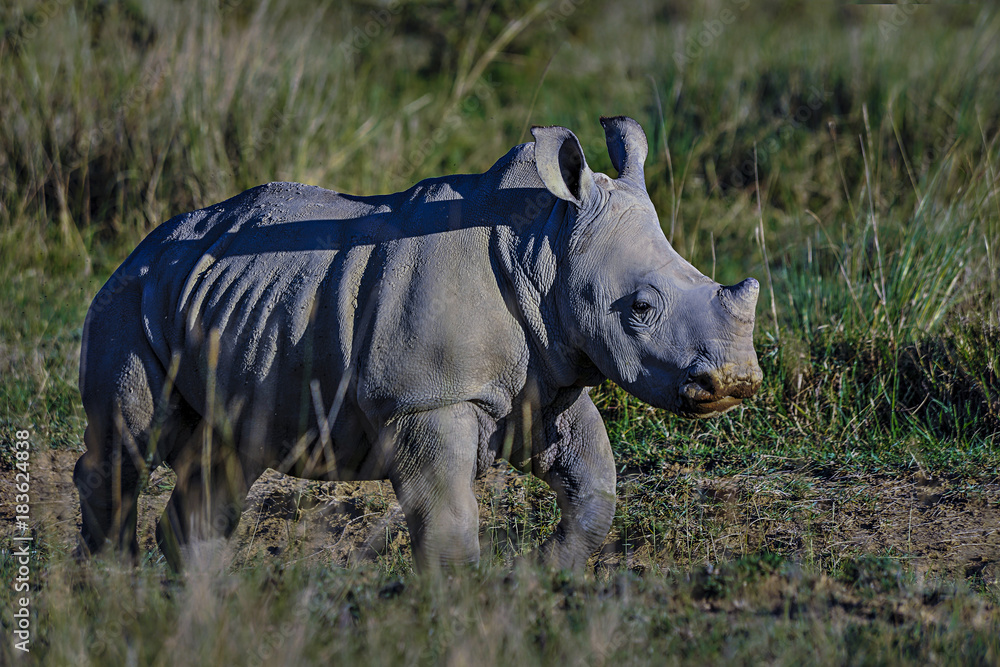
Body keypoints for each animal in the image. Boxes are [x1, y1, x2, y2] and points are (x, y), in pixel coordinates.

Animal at [74, 116, 762, 571]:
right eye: (641, 309)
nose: (738, 383)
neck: (545, 249)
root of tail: (142, 246)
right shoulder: (426, 398)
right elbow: (448, 520)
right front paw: (457, 609)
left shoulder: (546, 378)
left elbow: (594, 484)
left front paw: (538, 573)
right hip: (128, 301)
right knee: (131, 443)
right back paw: (117, 588)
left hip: (228, 303)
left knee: (228, 451)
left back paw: (203, 599)